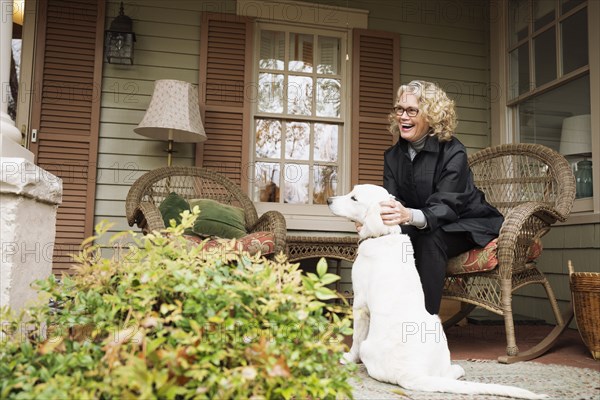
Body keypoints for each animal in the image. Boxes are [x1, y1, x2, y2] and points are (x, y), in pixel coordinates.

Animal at [328, 185, 548, 400]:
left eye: (354, 198)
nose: (329, 200)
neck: (384, 235)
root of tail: (412, 374)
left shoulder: (360, 305)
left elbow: (356, 337)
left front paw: (349, 358)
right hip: (436, 324)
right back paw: (458, 369)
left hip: (372, 345)